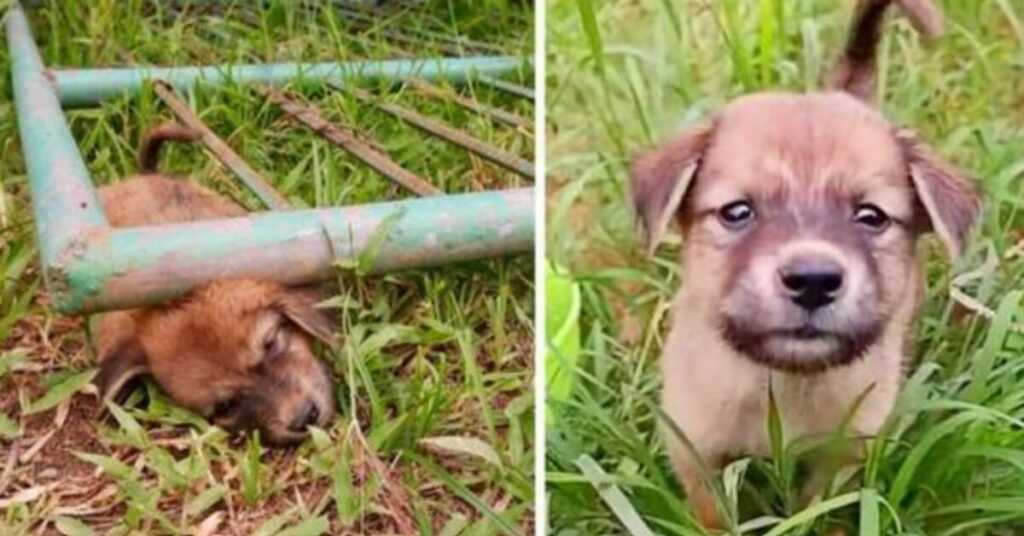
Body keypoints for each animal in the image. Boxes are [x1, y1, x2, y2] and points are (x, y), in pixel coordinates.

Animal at [630, 0, 974, 528]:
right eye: (737, 212)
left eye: (871, 216)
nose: (814, 281)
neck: (783, 382)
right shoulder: (696, 451)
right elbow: (714, 516)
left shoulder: (844, 456)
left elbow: (817, 511)